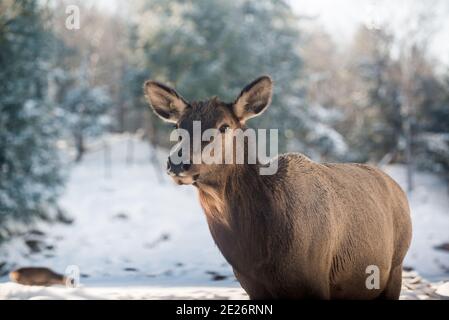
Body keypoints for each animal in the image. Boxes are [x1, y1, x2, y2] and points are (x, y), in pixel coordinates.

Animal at [145, 75, 412, 300]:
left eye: (224, 126)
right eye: (177, 127)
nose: (177, 161)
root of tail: (397, 187)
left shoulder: (316, 278)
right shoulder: (253, 286)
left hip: (395, 266)